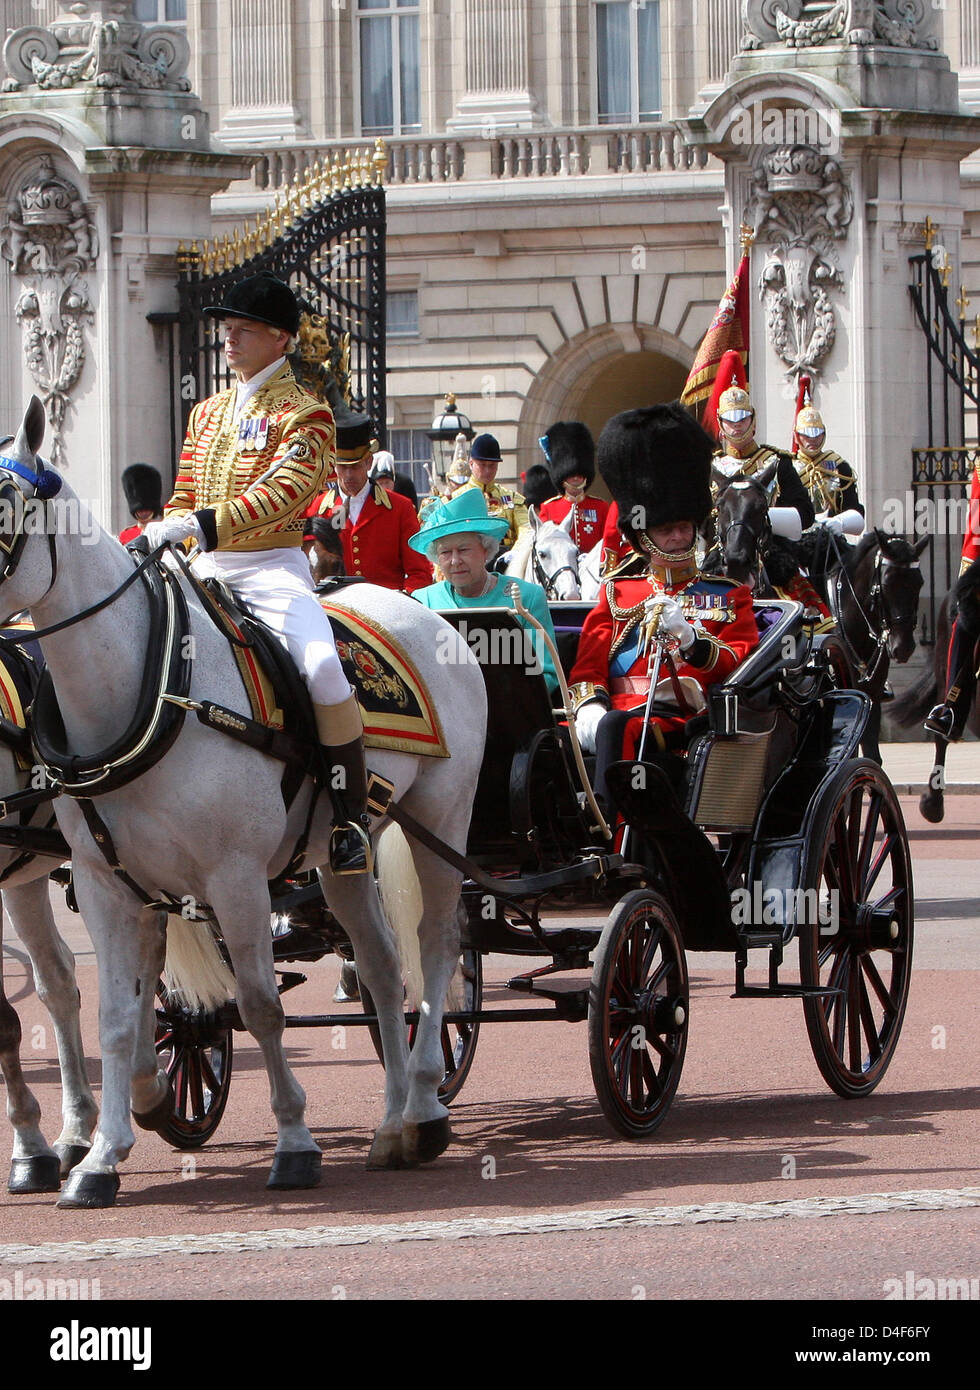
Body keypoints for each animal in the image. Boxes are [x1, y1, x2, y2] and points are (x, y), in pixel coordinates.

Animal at [0, 400, 486, 1206]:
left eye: (5, 509)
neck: (149, 688)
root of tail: (419, 609)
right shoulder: (104, 884)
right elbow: (115, 1013)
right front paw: (101, 1157)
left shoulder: (234, 878)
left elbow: (259, 1002)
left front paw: (294, 1143)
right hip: (339, 854)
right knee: (382, 964)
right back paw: (390, 1124)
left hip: (441, 824)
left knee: (437, 946)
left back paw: (422, 1104)